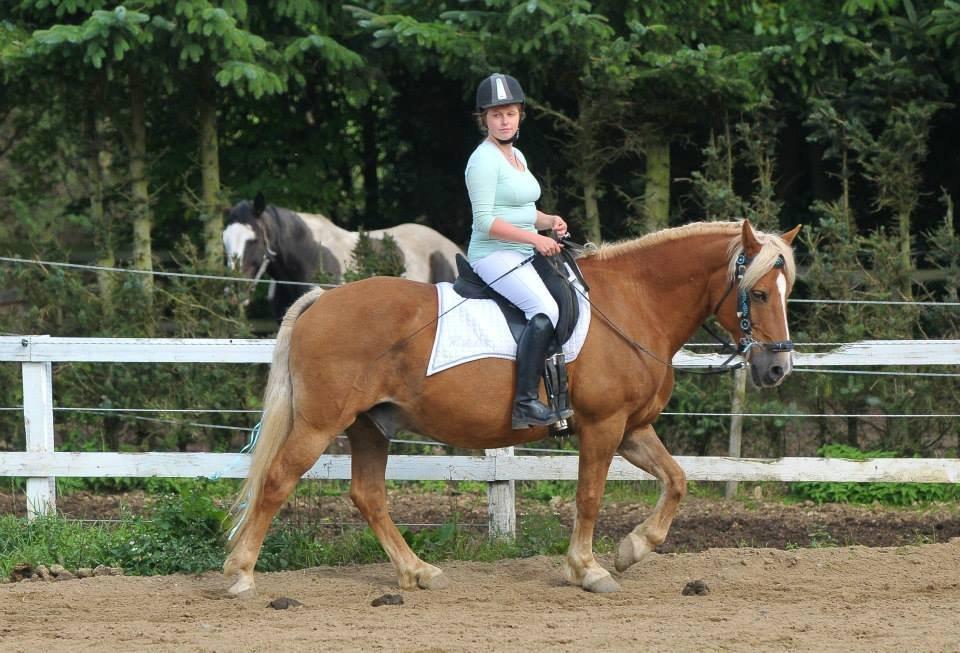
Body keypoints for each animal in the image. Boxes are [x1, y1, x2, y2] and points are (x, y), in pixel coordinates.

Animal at [225, 220, 804, 596]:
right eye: (757, 294)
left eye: (787, 289)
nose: (777, 369)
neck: (634, 303)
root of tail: (321, 300)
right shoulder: (603, 426)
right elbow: (589, 497)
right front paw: (588, 569)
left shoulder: (632, 428)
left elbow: (678, 480)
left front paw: (633, 550)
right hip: (321, 423)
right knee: (277, 480)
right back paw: (240, 572)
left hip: (371, 426)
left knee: (368, 496)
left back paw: (418, 572)